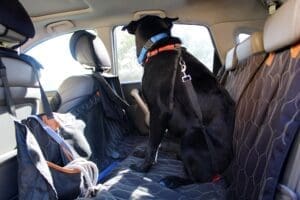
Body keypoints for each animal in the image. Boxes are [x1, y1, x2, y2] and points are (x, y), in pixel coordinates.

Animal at [122, 15, 234, 188]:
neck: (157, 45)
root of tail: (223, 168)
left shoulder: (159, 111)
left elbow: (152, 143)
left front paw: (143, 167)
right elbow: (154, 143)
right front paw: (143, 155)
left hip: (191, 138)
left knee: (200, 179)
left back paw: (174, 180)